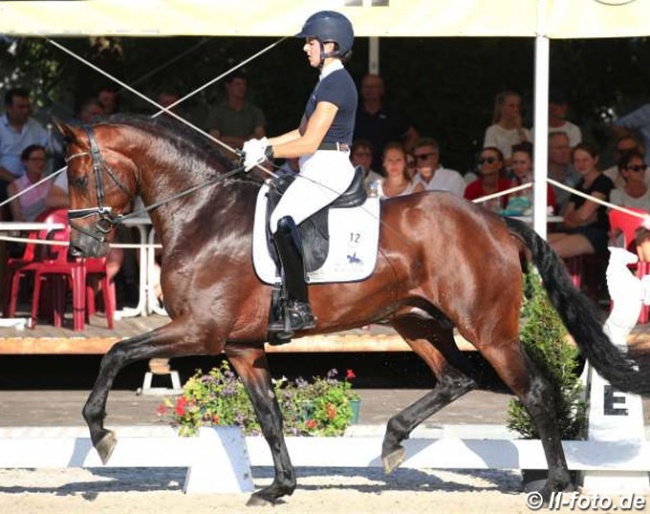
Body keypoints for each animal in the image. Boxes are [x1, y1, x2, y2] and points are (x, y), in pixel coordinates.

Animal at [57, 116, 648, 504]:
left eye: (81, 176)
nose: (81, 248)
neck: (203, 213)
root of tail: (496, 221)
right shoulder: (241, 346)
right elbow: (269, 416)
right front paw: (279, 487)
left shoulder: (199, 331)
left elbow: (116, 351)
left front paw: (101, 434)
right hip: (415, 320)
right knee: (456, 379)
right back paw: (393, 441)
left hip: (487, 329)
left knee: (535, 391)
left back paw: (555, 483)